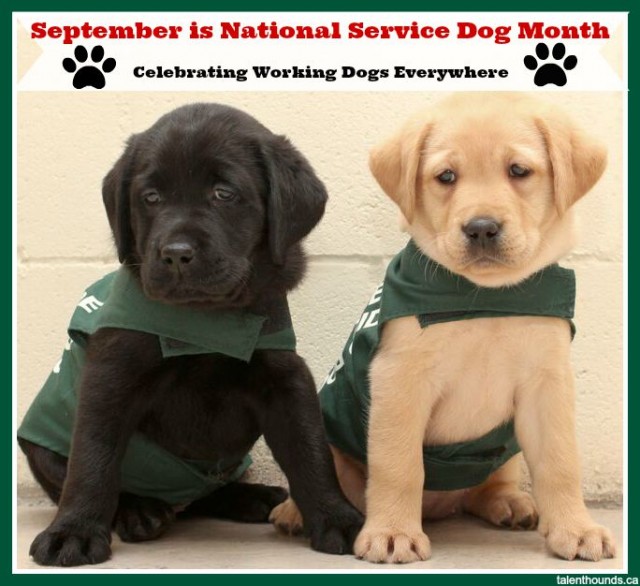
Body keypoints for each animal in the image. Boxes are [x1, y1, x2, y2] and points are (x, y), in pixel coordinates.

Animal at [17, 102, 362, 564]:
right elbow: (92, 457)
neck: (205, 320)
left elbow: (311, 450)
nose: (175, 255)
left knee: (206, 494)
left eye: (224, 193)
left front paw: (337, 517)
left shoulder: (285, 378)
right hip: (41, 448)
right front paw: (73, 531)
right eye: (150, 197)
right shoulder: (109, 374)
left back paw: (250, 497)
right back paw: (139, 510)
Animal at [272, 93, 616, 564]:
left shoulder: (548, 384)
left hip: (503, 448)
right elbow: (399, 466)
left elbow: (561, 462)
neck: (484, 298)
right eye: (446, 176)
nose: (481, 228)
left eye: (518, 171)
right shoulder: (399, 379)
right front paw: (392, 532)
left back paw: (509, 502)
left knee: (489, 484)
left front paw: (575, 529)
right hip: (333, 441)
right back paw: (294, 512)